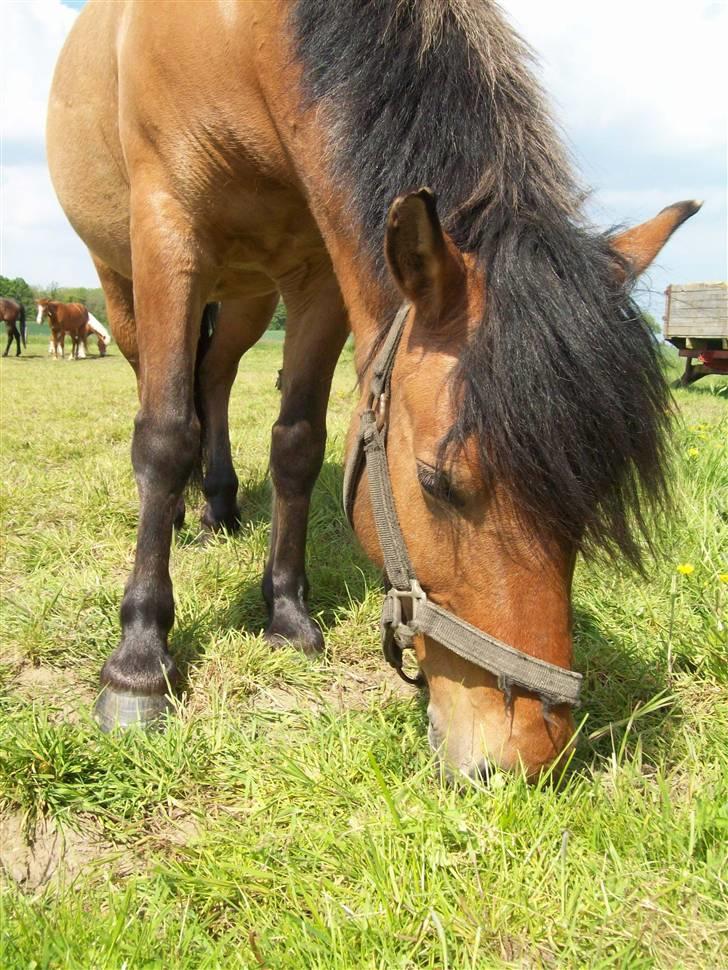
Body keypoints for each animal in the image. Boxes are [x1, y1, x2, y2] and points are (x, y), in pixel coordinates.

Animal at [47, 1, 700, 780]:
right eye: (438, 482)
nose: (526, 758)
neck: (239, 38)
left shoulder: (317, 270)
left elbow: (297, 445)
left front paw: (287, 616)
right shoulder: (166, 232)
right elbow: (165, 435)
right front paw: (140, 663)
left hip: (245, 295)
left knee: (216, 376)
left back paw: (220, 506)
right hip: (123, 281)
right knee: (162, 389)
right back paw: (178, 516)